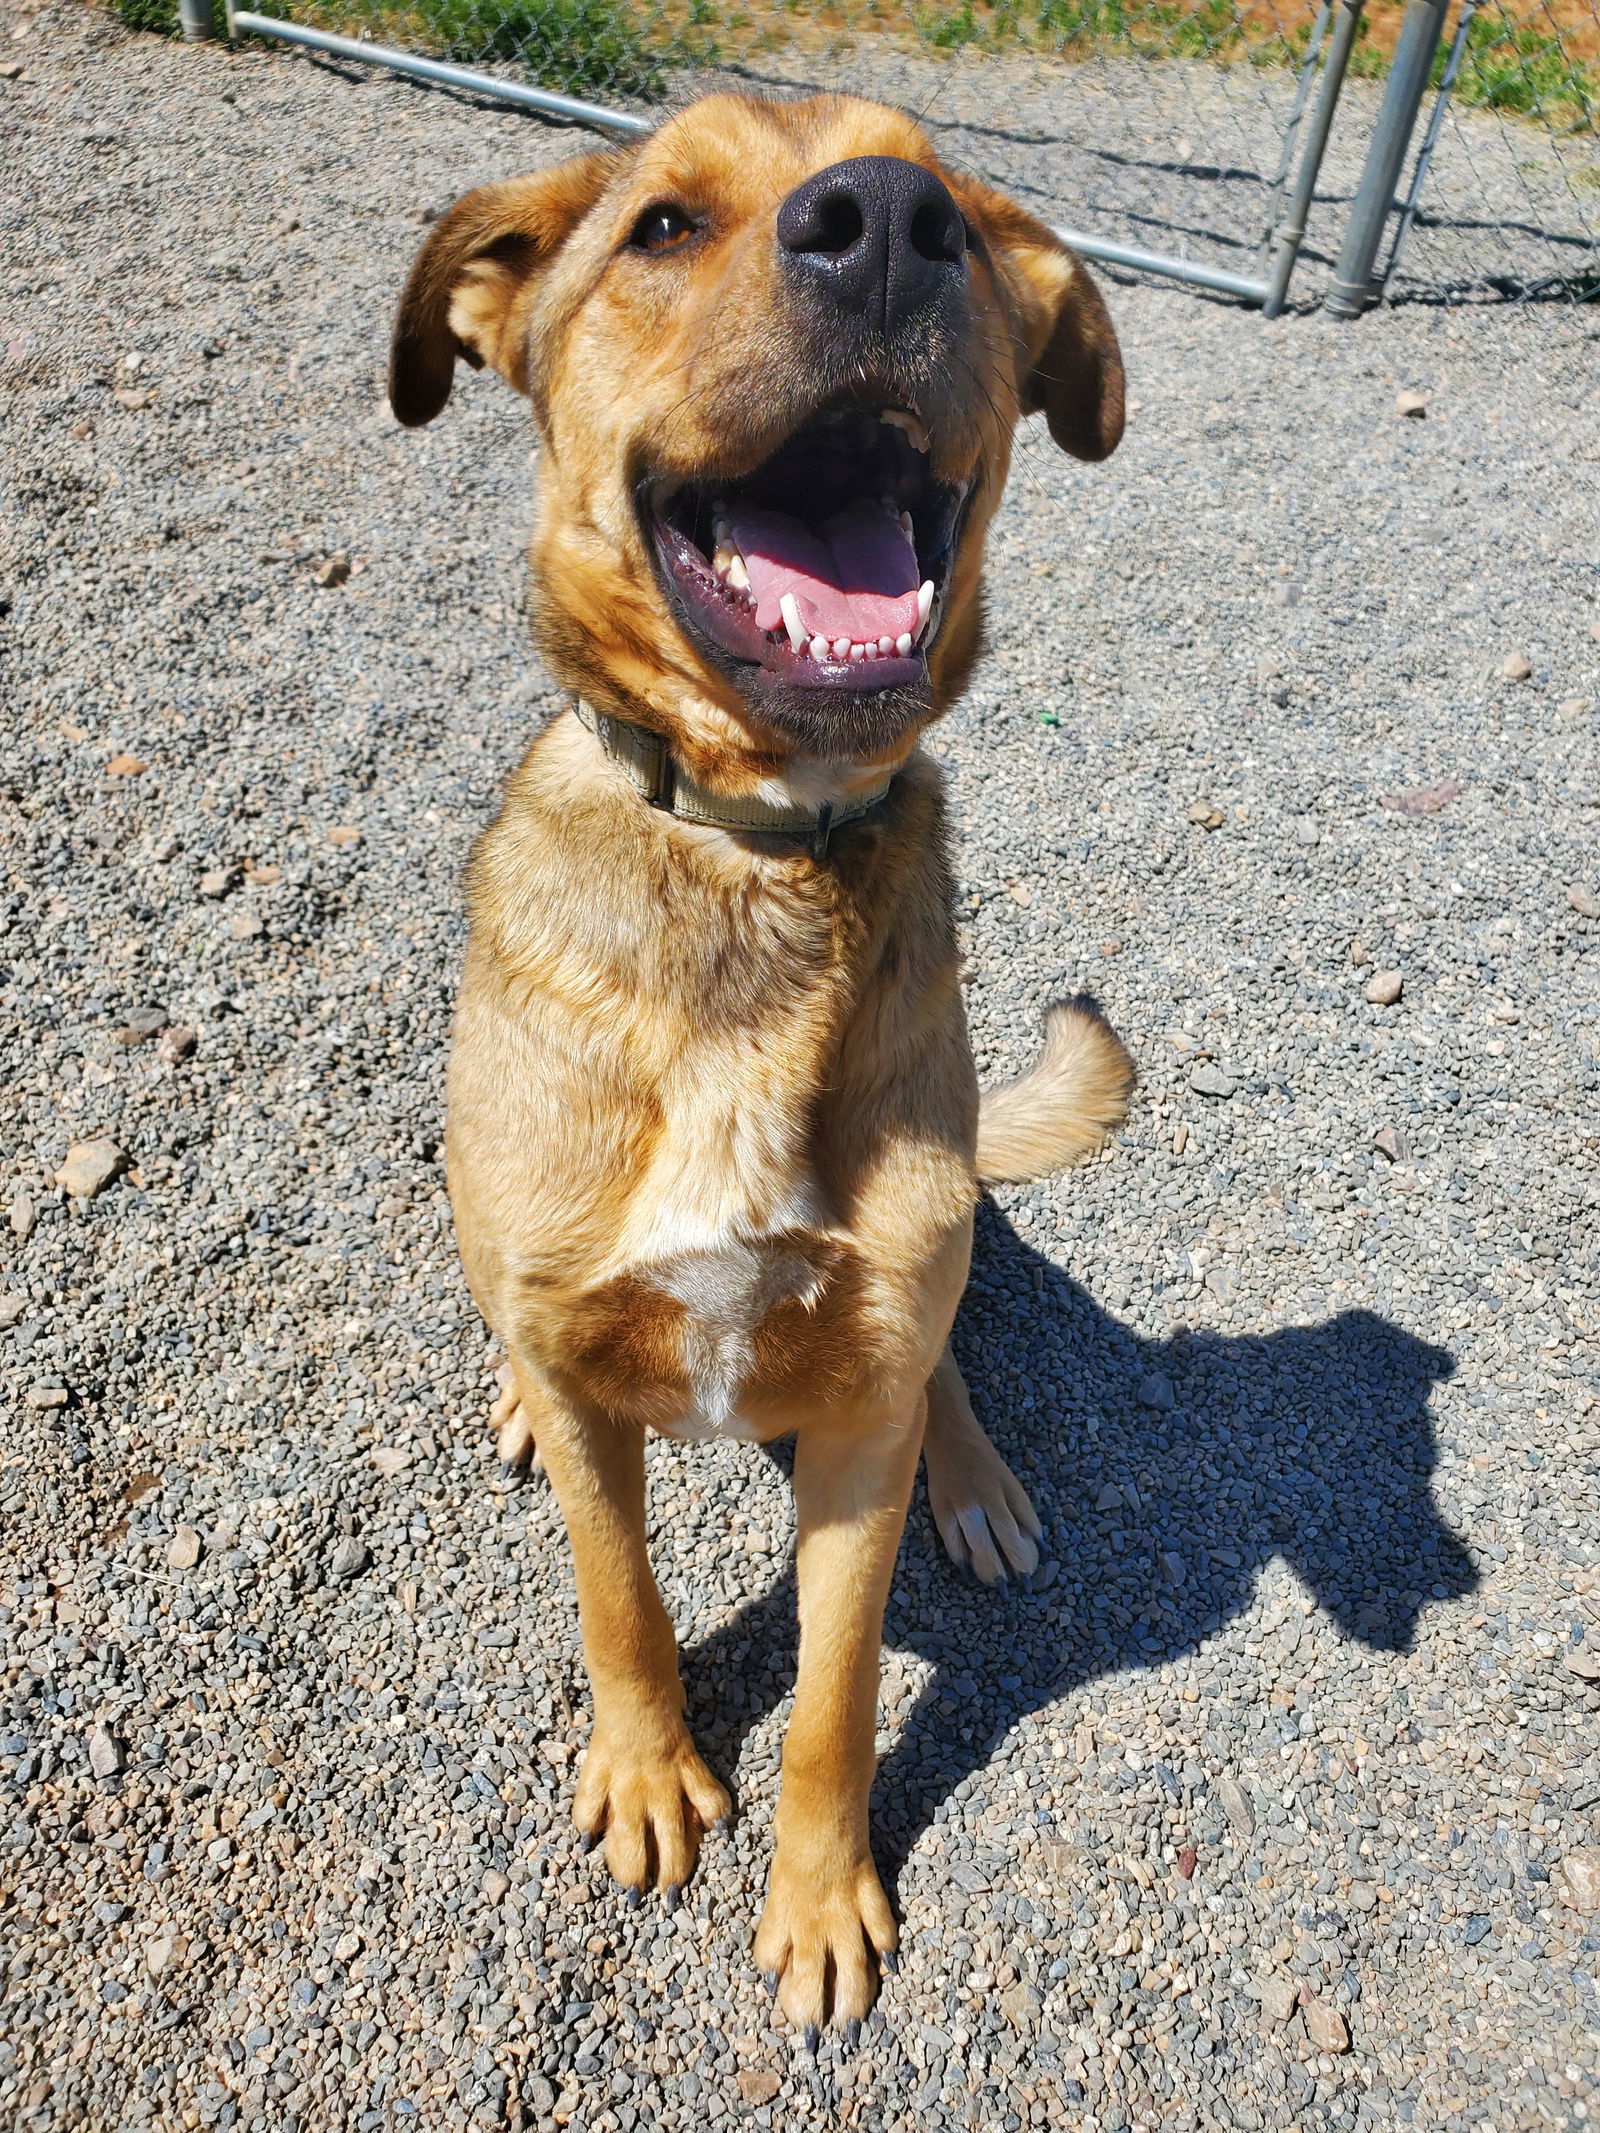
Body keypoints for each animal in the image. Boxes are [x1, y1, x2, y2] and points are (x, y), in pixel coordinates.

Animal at [392, 95, 1134, 2030]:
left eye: (956, 215)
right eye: (661, 222)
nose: (884, 227)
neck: (755, 855)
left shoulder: (858, 1413)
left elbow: (836, 1695)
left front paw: (816, 1895)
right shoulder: (592, 1383)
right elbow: (619, 1597)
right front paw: (652, 1770)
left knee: (951, 1354)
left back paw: (980, 1476)